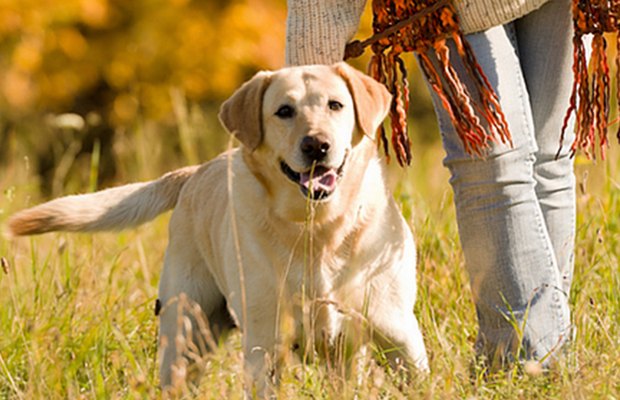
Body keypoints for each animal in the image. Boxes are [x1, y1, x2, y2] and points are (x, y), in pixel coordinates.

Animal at [7, 61, 428, 394]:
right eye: (284, 111)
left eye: (336, 105)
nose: (316, 145)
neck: (317, 230)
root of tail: (193, 172)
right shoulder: (263, 345)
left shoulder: (398, 334)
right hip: (185, 333)